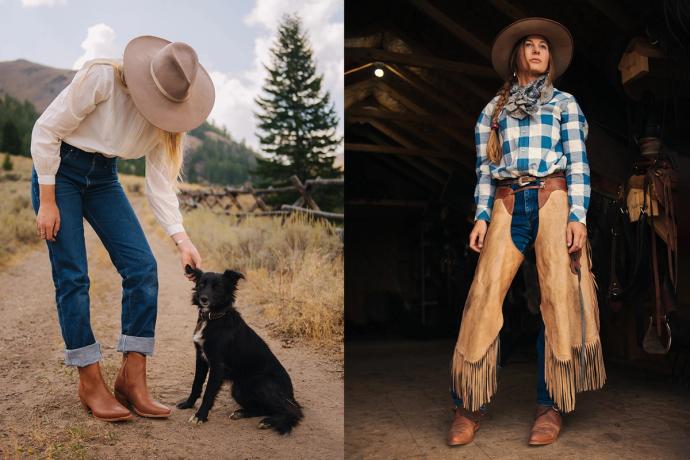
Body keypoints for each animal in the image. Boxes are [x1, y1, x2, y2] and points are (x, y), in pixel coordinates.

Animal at [175, 264, 300, 434]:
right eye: (201, 285)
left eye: (218, 287)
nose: (203, 299)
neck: (213, 318)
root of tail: (290, 395)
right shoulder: (200, 358)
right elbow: (196, 384)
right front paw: (188, 404)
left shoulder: (218, 366)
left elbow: (209, 393)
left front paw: (200, 416)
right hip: (238, 389)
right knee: (263, 408)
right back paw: (243, 413)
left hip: (261, 384)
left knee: (292, 411)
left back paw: (270, 421)